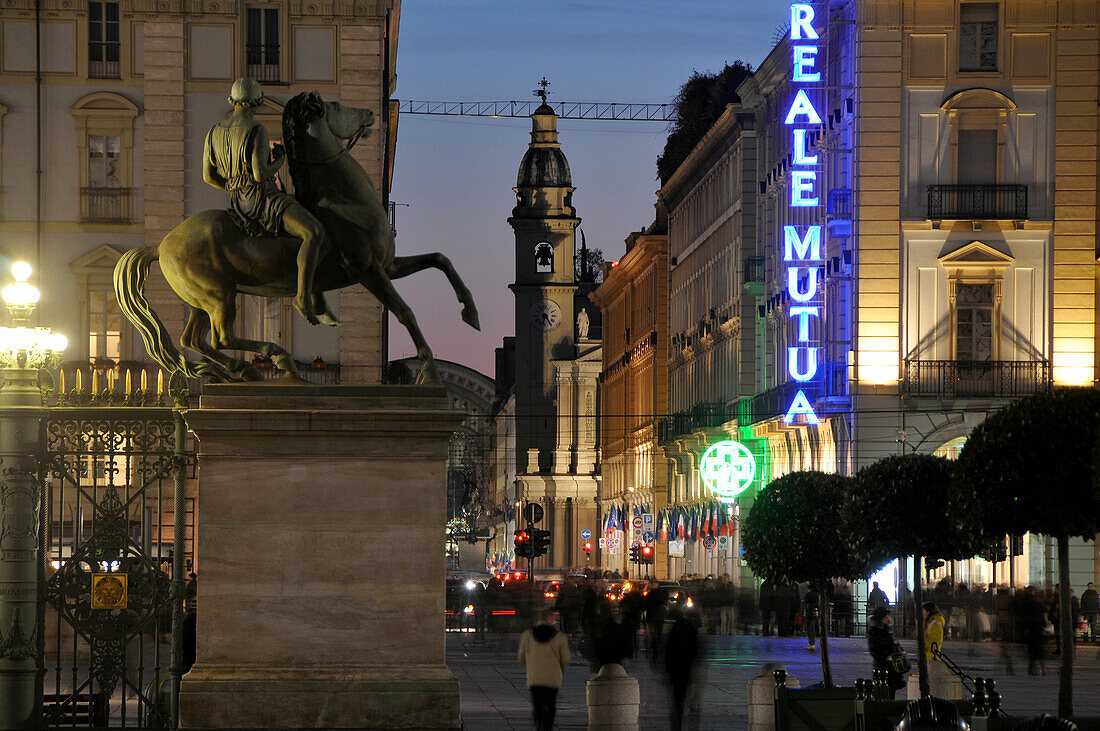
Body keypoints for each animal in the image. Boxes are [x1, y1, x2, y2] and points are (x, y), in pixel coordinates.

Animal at [113, 92, 479, 382]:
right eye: (336, 105)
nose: (369, 114)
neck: (344, 198)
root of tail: (161, 244)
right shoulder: (366, 269)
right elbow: (405, 311)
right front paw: (429, 367)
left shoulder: (386, 265)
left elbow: (440, 259)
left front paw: (470, 313)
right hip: (219, 296)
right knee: (220, 339)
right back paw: (274, 357)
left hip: (200, 299)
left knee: (194, 341)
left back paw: (244, 368)